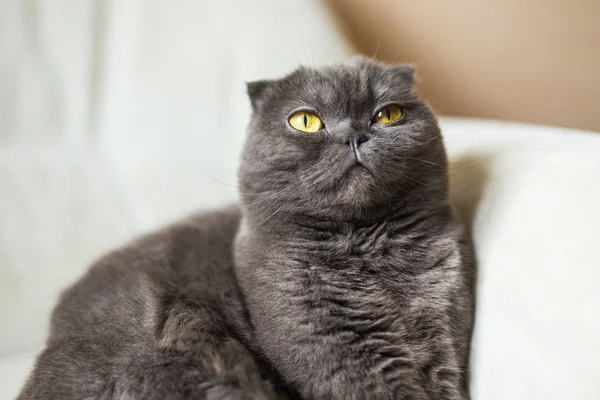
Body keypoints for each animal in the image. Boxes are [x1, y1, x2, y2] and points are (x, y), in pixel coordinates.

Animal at [21, 57, 476, 400]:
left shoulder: (442, 329)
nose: (355, 135)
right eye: (306, 121)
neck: (369, 249)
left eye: (388, 114)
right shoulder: (335, 346)